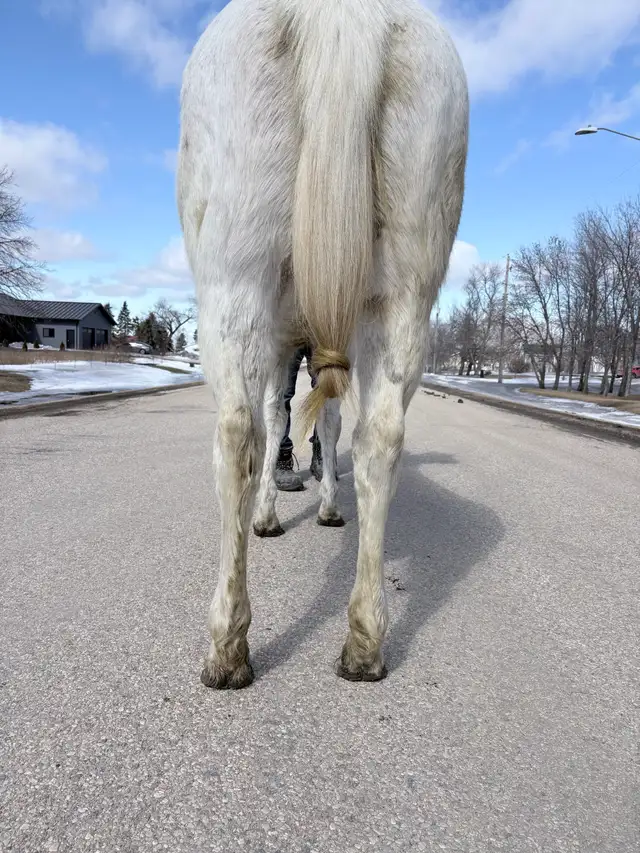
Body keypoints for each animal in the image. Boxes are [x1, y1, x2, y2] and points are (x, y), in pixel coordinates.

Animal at [177, 0, 469, 688]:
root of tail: (344, 15)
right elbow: (327, 425)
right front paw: (328, 502)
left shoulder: (282, 344)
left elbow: (275, 417)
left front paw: (269, 512)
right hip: (406, 288)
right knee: (378, 437)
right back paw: (364, 640)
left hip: (235, 273)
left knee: (239, 433)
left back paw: (227, 646)